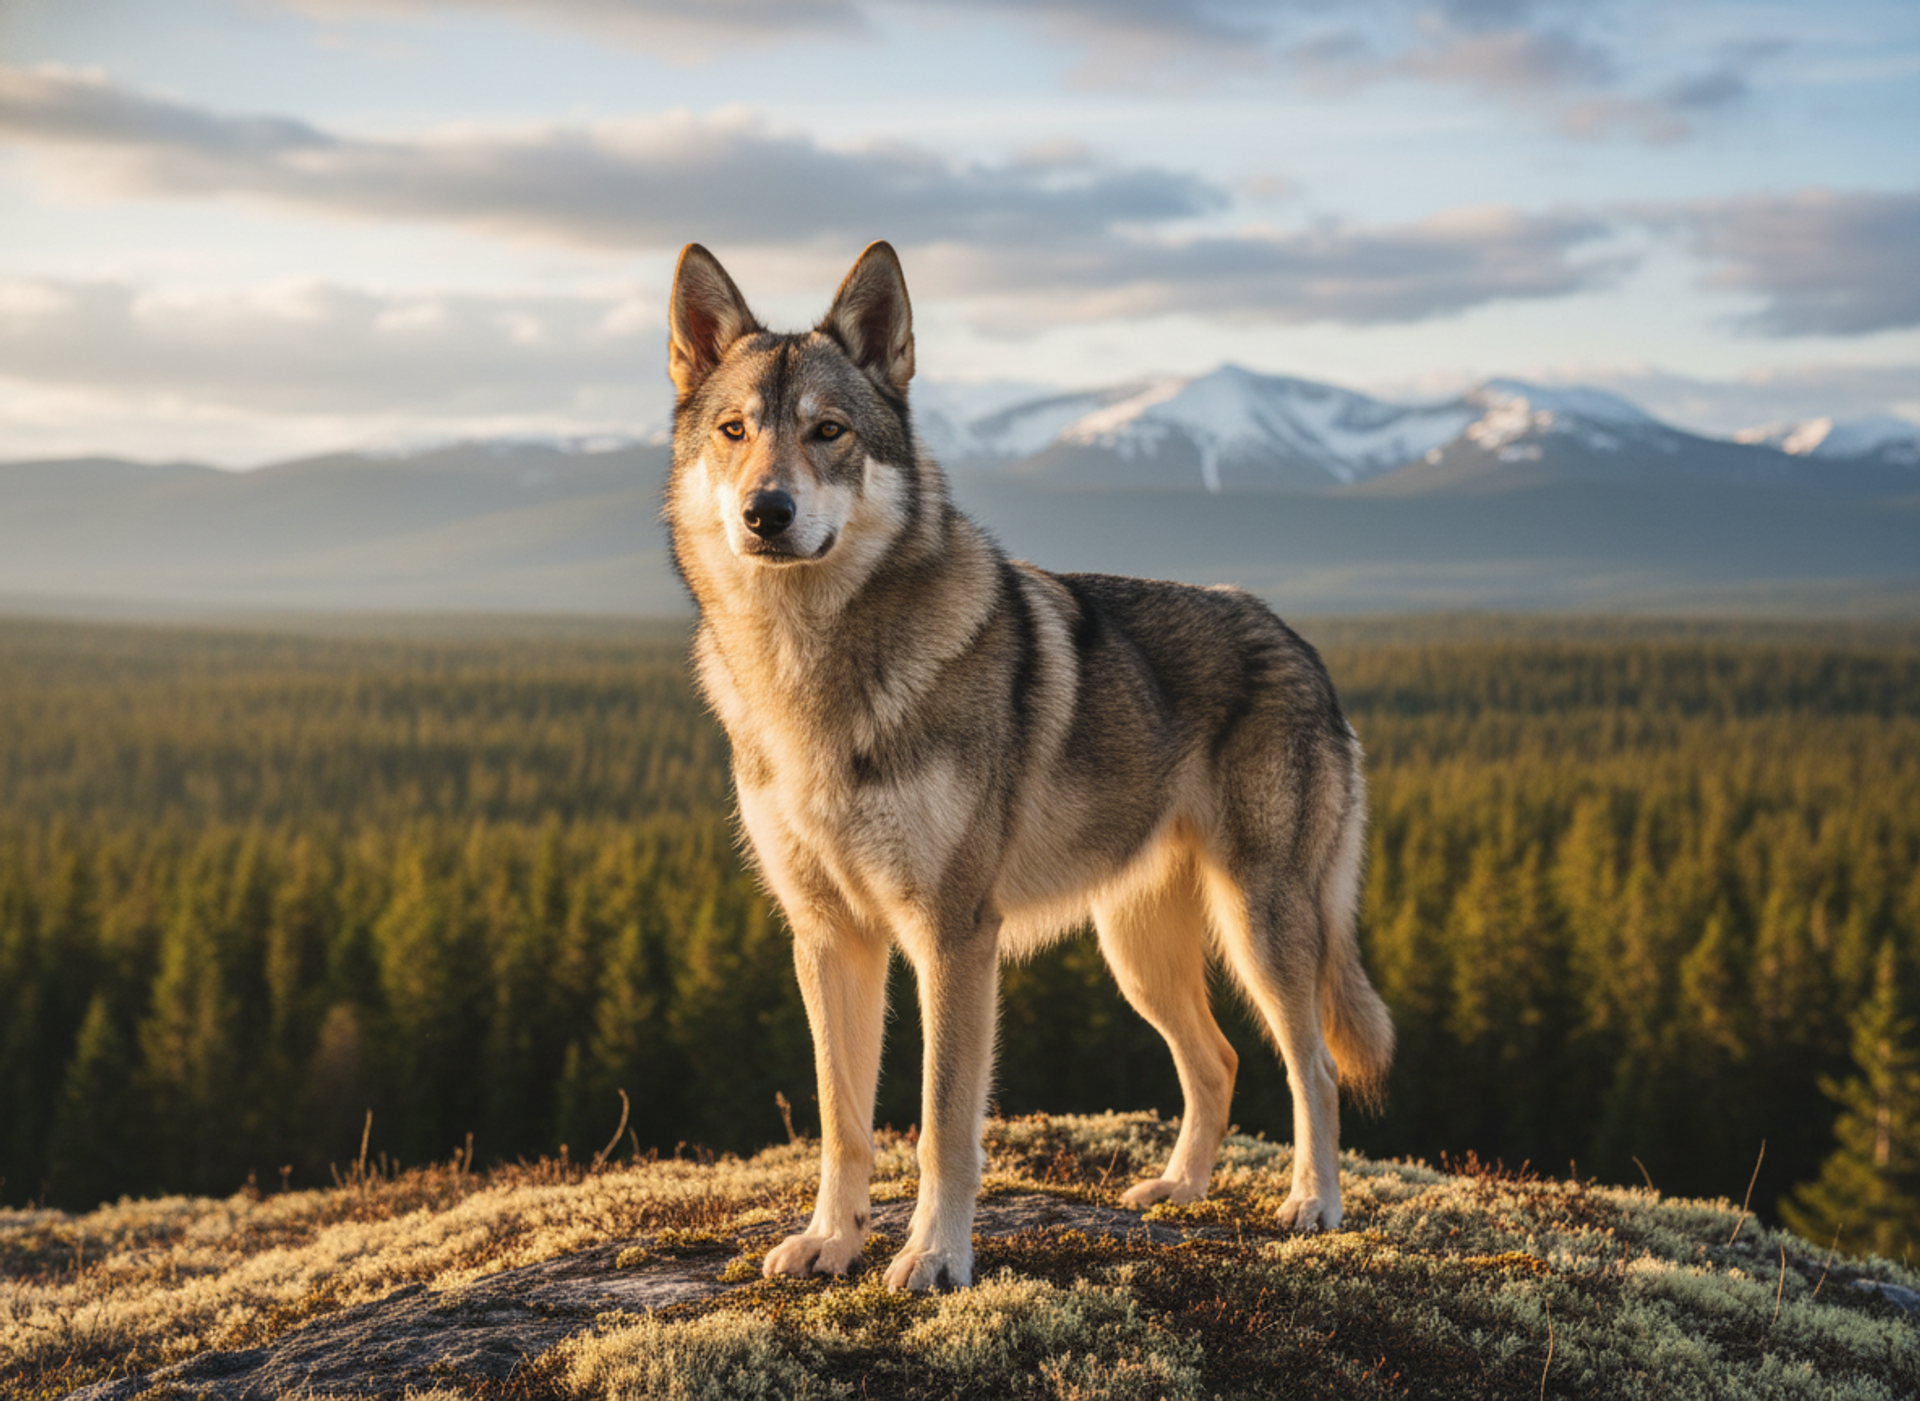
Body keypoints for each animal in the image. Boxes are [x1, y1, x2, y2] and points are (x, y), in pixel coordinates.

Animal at [664, 241, 1393, 1292]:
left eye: (828, 432)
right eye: (734, 432)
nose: (768, 512)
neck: (811, 670)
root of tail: (1296, 638)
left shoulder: (953, 935)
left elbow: (941, 1125)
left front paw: (935, 1259)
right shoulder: (829, 935)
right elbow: (843, 1121)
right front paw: (833, 1242)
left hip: (1264, 927)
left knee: (1314, 1067)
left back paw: (1314, 1204)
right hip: (1137, 954)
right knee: (1217, 1061)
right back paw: (1179, 1190)